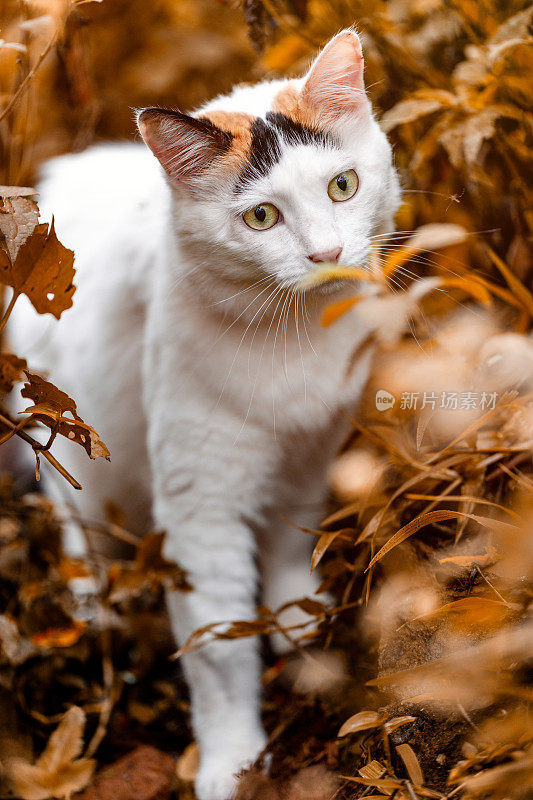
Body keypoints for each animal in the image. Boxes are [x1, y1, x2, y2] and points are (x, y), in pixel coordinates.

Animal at [9, 29, 400, 800]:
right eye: (261, 217)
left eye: (342, 186)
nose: (327, 253)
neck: (299, 338)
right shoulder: (201, 513)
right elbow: (220, 656)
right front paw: (232, 763)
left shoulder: (309, 455)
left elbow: (289, 544)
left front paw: (297, 621)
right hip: (66, 449)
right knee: (81, 535)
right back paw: (95, 611)